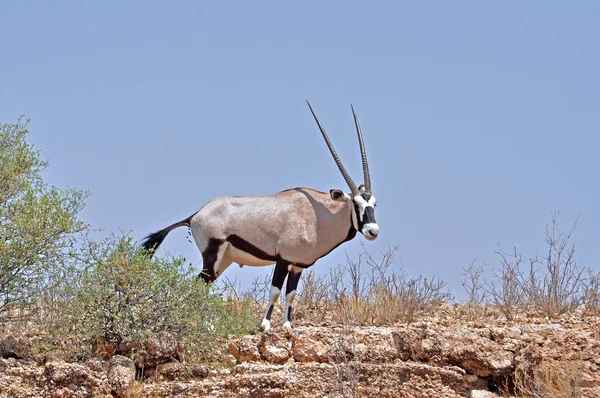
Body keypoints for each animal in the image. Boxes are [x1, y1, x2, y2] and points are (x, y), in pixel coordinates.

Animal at [139, 102, 380, 330]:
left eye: (374, 204)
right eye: (356, 203)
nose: (373, 231)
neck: (318, 216)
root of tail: (195, 215)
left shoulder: (298, 265)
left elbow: (291, 294)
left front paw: (287, 325)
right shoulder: (283, 259)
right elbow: (275, 290)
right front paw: (265, 325)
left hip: (224, 259)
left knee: (201, 284)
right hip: (212, 254)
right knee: (199, 284)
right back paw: (207, 325)